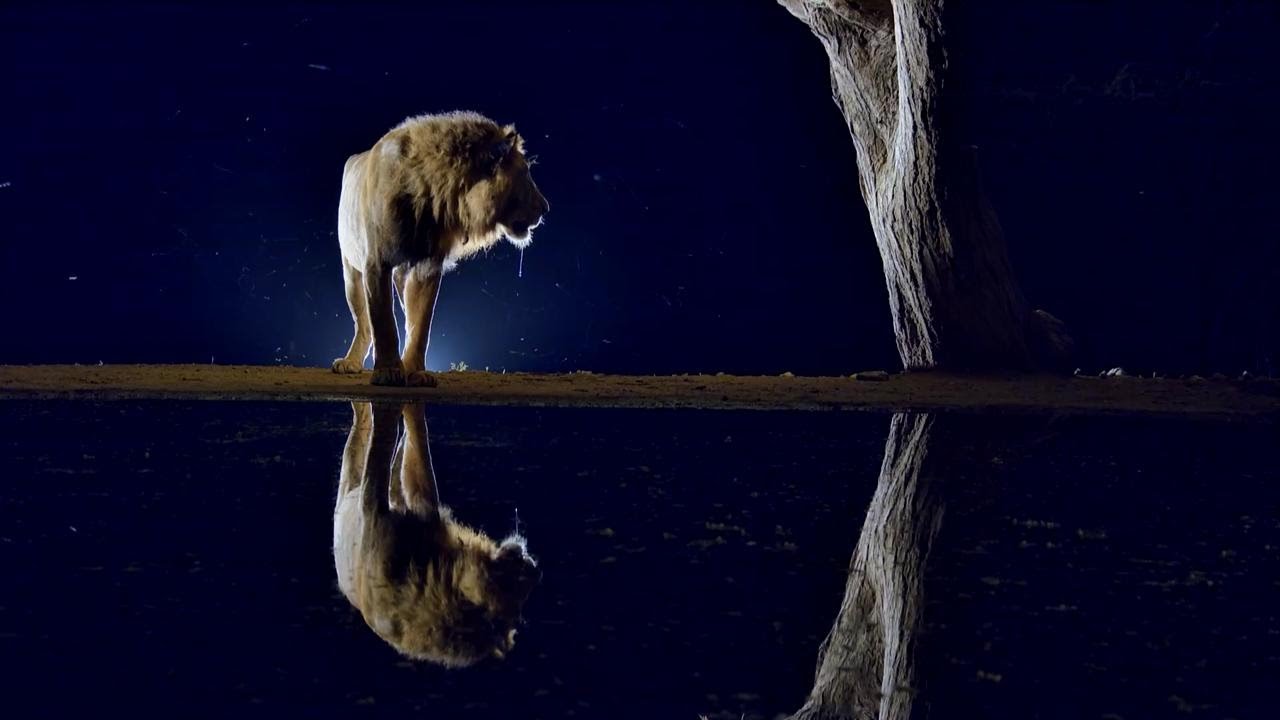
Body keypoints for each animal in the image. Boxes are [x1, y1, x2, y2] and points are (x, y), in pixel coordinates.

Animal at [331, 111, 550, 386]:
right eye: (525, 173)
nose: (546, 208)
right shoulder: (376, 262)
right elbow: (383, 321)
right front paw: (389, 371)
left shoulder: (427, 266)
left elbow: (421, 324)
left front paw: (416, 372)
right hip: (350, 269)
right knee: (363, 322)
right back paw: (350, 363)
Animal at [333, 402, 540, 666]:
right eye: (524, 576)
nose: (534, 566)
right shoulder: (423, 513)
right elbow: (415, 460)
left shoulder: (376, 520)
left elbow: (387, 446)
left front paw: (392, 410)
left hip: (350, 490)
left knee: (361, 446)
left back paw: (364, 412)